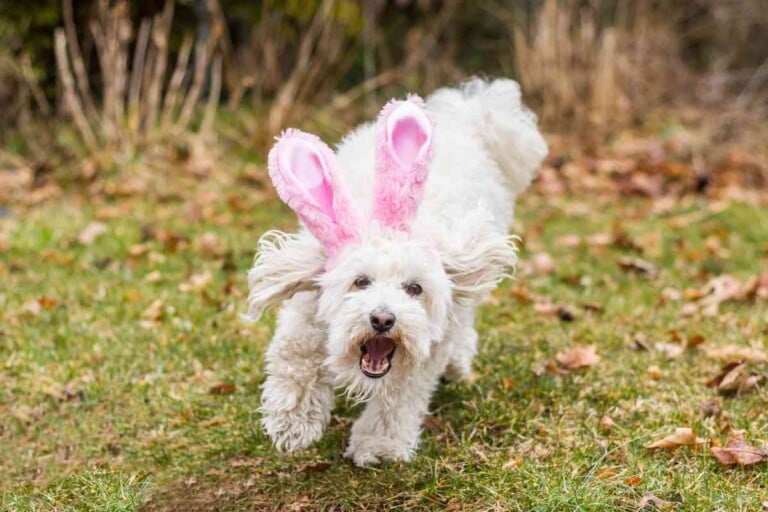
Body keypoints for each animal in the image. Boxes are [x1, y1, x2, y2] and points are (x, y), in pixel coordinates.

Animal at [246, 78, 544, 466]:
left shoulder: (424, 353)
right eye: (360, 282)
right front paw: (292, 422)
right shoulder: (306, 317)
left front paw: (379, 444)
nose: (383, 320)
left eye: (414, 288)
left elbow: (399, 397)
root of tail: (469, 115)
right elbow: (296, 362)